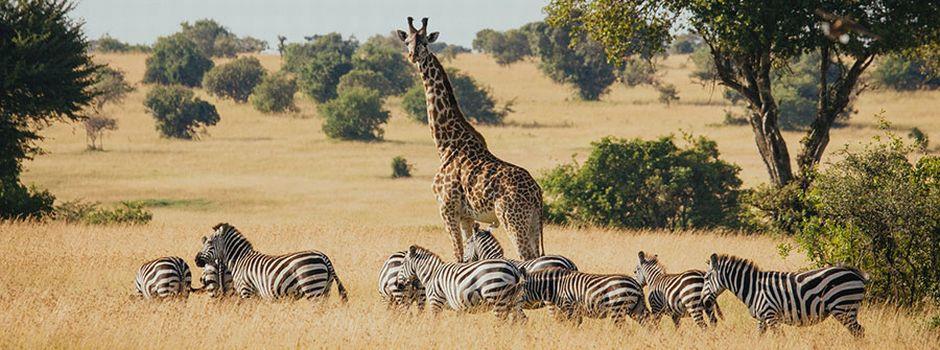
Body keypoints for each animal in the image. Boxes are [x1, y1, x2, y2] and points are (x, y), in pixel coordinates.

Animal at [193, 224, 346, 300]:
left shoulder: (246, 290)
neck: (240, 260)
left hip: (312, 287)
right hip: (325, 289)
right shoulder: (255, 294)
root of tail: (323, 256)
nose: (195, 260)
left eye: (209, 243)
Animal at [394, 245, 528, 322]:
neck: (432, 274)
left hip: (496, 296)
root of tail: (514, 269)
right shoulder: (459, 307)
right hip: (515, 301)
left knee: (501, 322)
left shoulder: (435, 301)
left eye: (402, 264)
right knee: (522, 320)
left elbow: (435, 322)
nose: (397, 285)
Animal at [396, 18, 544, 260]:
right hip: (532, 223)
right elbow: (467, 257)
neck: (445, 144)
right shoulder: (466, 216)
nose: (412, 56)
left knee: (527, 257)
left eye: (425, 42)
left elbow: (457, 255)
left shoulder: (447, 208)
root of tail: (537, 193)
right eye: (407, 41)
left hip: (513, 219)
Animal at [516, 268, 648, 326]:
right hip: (636, 310)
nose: (512, 303)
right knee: (649, 324)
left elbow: (573, 325)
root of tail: (637, 285)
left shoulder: (569, 307)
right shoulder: (574, 310)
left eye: (516, 290)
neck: (557, 286)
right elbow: (576, 325)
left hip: (618, 308)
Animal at [704, 253, 868, 338]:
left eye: (706, 278)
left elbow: (779, 338)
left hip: (843, 307)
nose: (705, 303)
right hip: (847, 309)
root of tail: (854, 273)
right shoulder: (762, 319)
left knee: (858, 331)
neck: (754, 288)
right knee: (859, 331)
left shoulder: (771, 316)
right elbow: (759, 338)